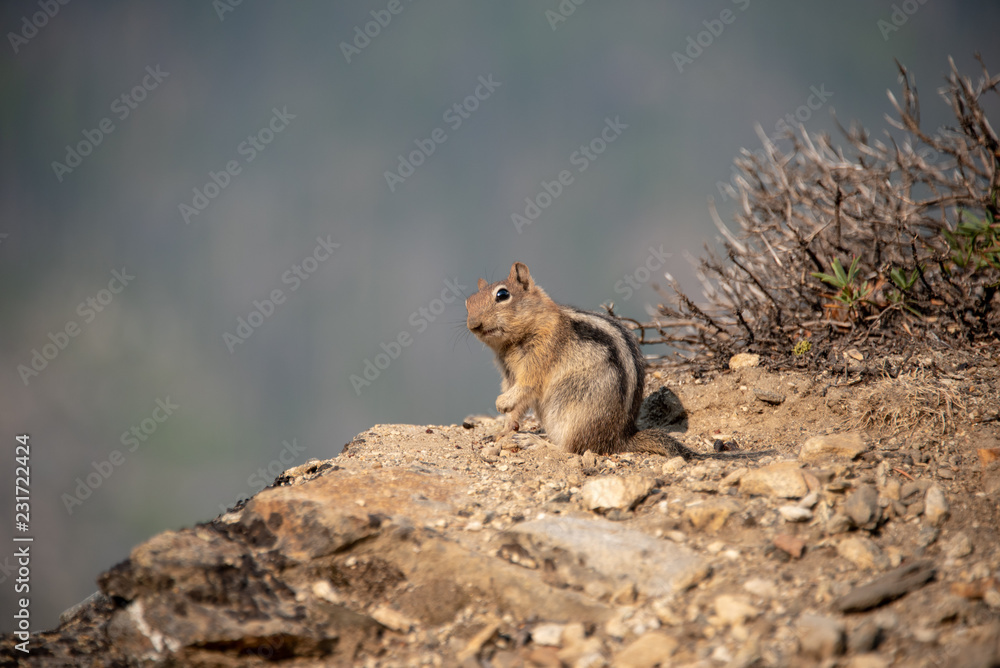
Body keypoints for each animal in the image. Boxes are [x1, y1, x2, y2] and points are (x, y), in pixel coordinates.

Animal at [466, 262, 771, 460]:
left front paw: (501, 404)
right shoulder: (509, 373)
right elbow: (517, 405)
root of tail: (621, 437)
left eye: (502, 295)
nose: (473, 324)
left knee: (572, 450)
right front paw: (501, 429)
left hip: (572, 416)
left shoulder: (538, 359)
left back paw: (535, 442)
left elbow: (525, 388)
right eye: (468, 301)